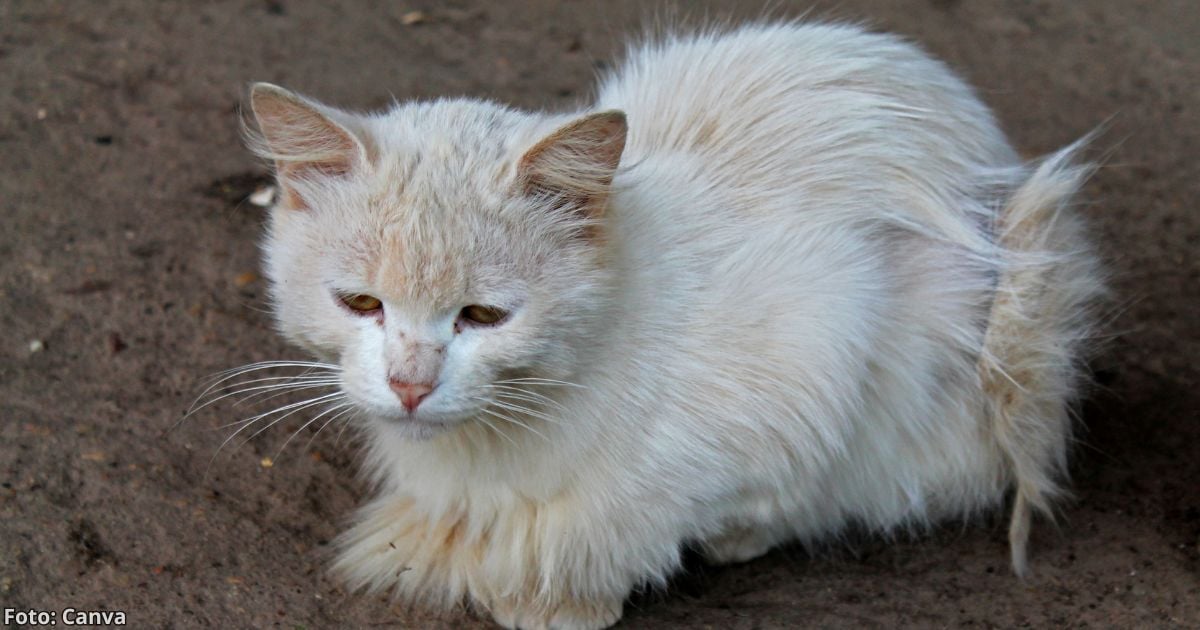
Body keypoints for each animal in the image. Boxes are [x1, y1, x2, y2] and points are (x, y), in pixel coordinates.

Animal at [236, 19, 1104, 628]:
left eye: (483, 316)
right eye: (361, 304)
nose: (410, 386)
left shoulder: (826, 344)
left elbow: (733, 505)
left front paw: (565, 601)